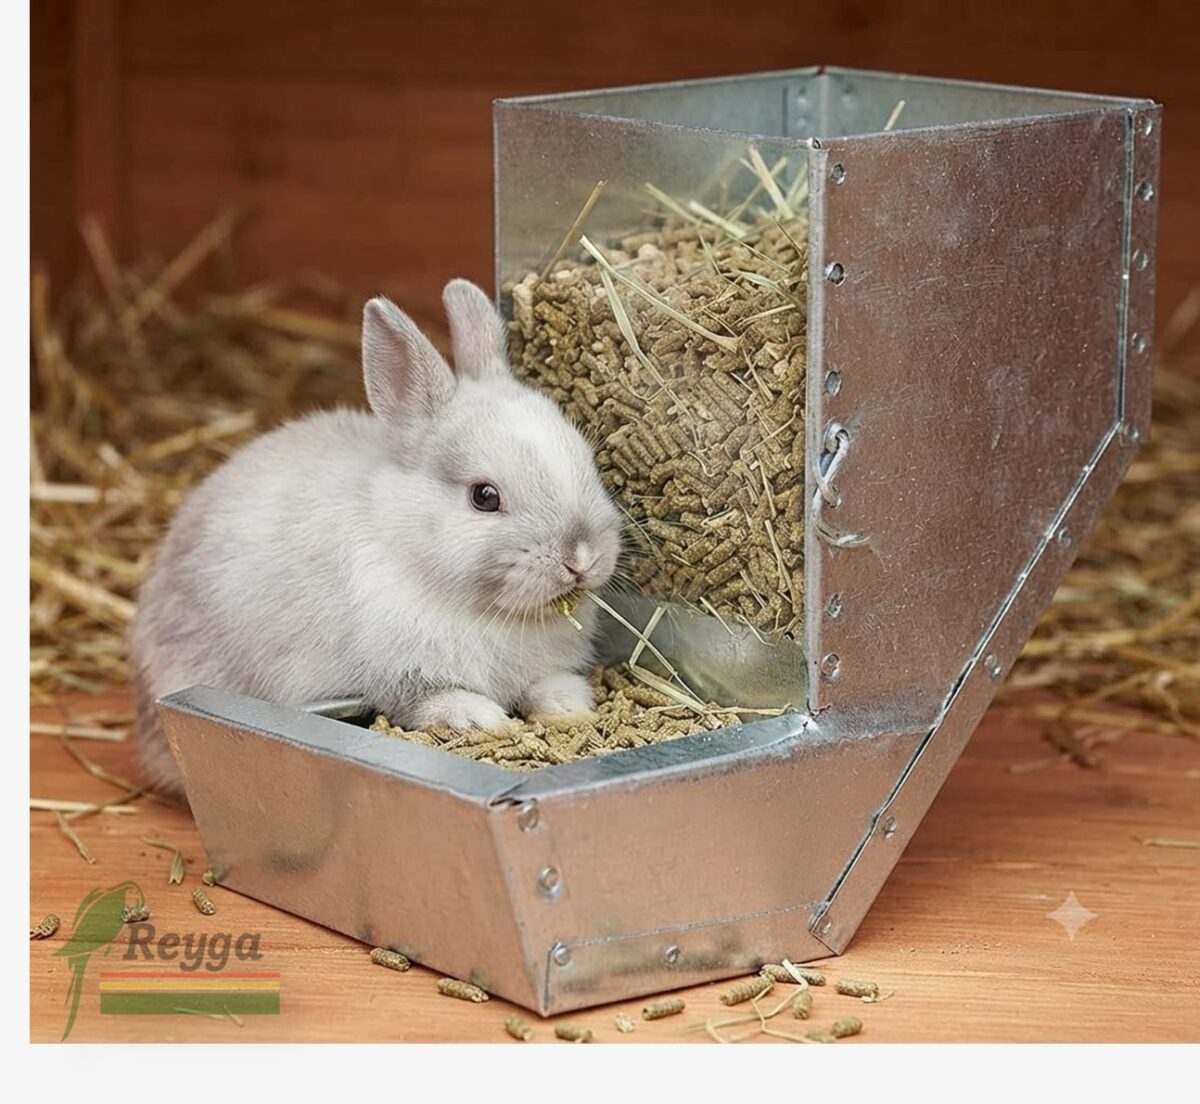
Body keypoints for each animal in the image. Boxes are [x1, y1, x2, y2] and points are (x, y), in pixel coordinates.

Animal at [130, 279, 622, 797]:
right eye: (484, 496)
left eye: (586, 460)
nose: (581, 557)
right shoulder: (402, 676)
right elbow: (433, 701)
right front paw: (482, 719)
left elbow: (549, 684)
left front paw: (571, 708)